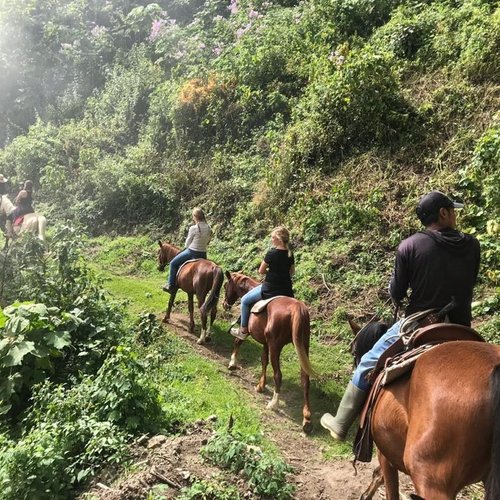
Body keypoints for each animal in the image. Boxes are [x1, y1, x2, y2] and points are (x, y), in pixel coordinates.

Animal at [223, 272, 316, 432]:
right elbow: (263, 360)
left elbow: (238, 341)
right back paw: (307, 419)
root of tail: (297, 308)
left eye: (225, 285)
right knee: (305, 380)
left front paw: (232, 363)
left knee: (278, 375)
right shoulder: (266, 343)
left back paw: (274, 404)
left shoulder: (250, 332)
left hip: (276, 346)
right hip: (303, 346)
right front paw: (261, 385)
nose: (224, 304)